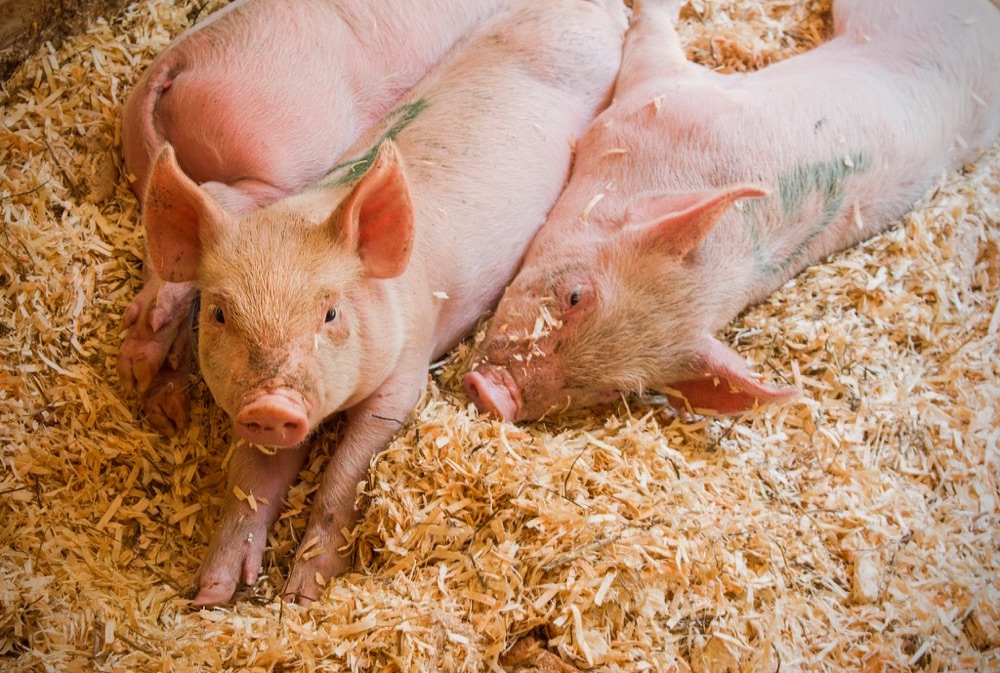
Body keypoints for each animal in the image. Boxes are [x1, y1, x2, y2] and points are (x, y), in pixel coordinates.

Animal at [117, 0, 520, 437]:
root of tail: (181, 57)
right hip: (281, 158)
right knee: (214, 200)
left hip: (146, 164)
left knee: (163, 238)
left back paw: (153, 392)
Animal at [464, 0, 1000, 422]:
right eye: (575, 296)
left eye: (613, 389)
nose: (496, 396)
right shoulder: (667, 97)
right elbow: (652, 36)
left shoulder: (662, 94)